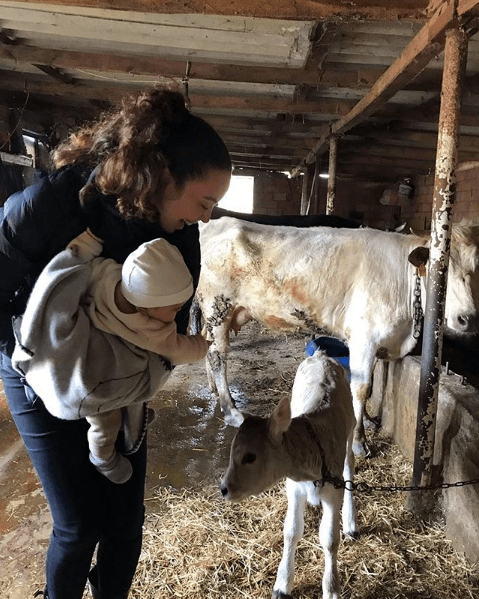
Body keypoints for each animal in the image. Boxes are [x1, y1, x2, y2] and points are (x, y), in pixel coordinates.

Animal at [197, 218, 479, 458]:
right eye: (438, 272)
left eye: (475, 269)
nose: (468, 318)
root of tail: (213, 223)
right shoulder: (364, 338)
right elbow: (362, 388)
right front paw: (359, 442)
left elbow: (370, 383)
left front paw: (367, 420)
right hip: (217, 308)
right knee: (218, 356)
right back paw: (231, 410)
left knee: (207, 349)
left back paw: (215, 391)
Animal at [221, 352, 356, 599]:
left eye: (250, 457)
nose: (224, 488)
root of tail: (321, 355)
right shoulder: (293, 486)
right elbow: (291, 531)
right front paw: (282, 585)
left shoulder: (333, 490)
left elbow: (330, 539)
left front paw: (331, 588)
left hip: (351, 426)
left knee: (349, 464)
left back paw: (351, 522)